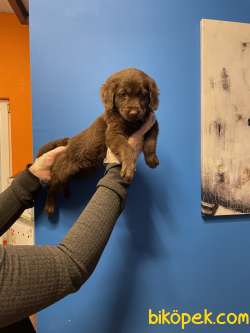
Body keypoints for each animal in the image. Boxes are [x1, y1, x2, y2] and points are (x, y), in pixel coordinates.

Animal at [38, 68, 160, 215]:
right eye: (123, 94)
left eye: (143, 95)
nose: (133, 112)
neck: (132, 123)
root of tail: (67, 143)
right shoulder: (113, 134)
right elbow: (127, 148)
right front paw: (129, 169)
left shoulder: (151, 122)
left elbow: (152, 139)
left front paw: (152, 159)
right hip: (62, 169)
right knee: (53, 184)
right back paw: (50, 206)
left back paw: (66, 192)